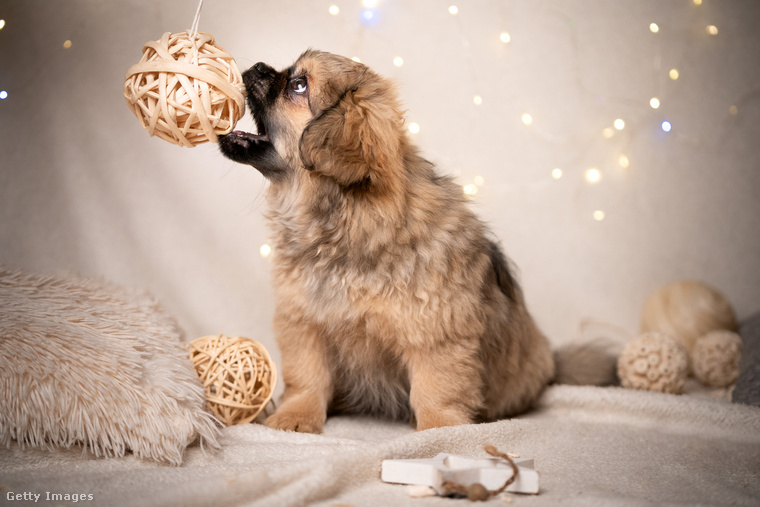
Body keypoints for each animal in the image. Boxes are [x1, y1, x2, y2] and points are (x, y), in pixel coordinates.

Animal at [218, 50, 552, 432]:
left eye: (298, 85)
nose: (259, 66)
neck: (347, 222)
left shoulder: (435, 335)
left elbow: (435, 391)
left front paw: (439, 432)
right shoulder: (304, 324)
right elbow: (307, 378)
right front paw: (296, 417)